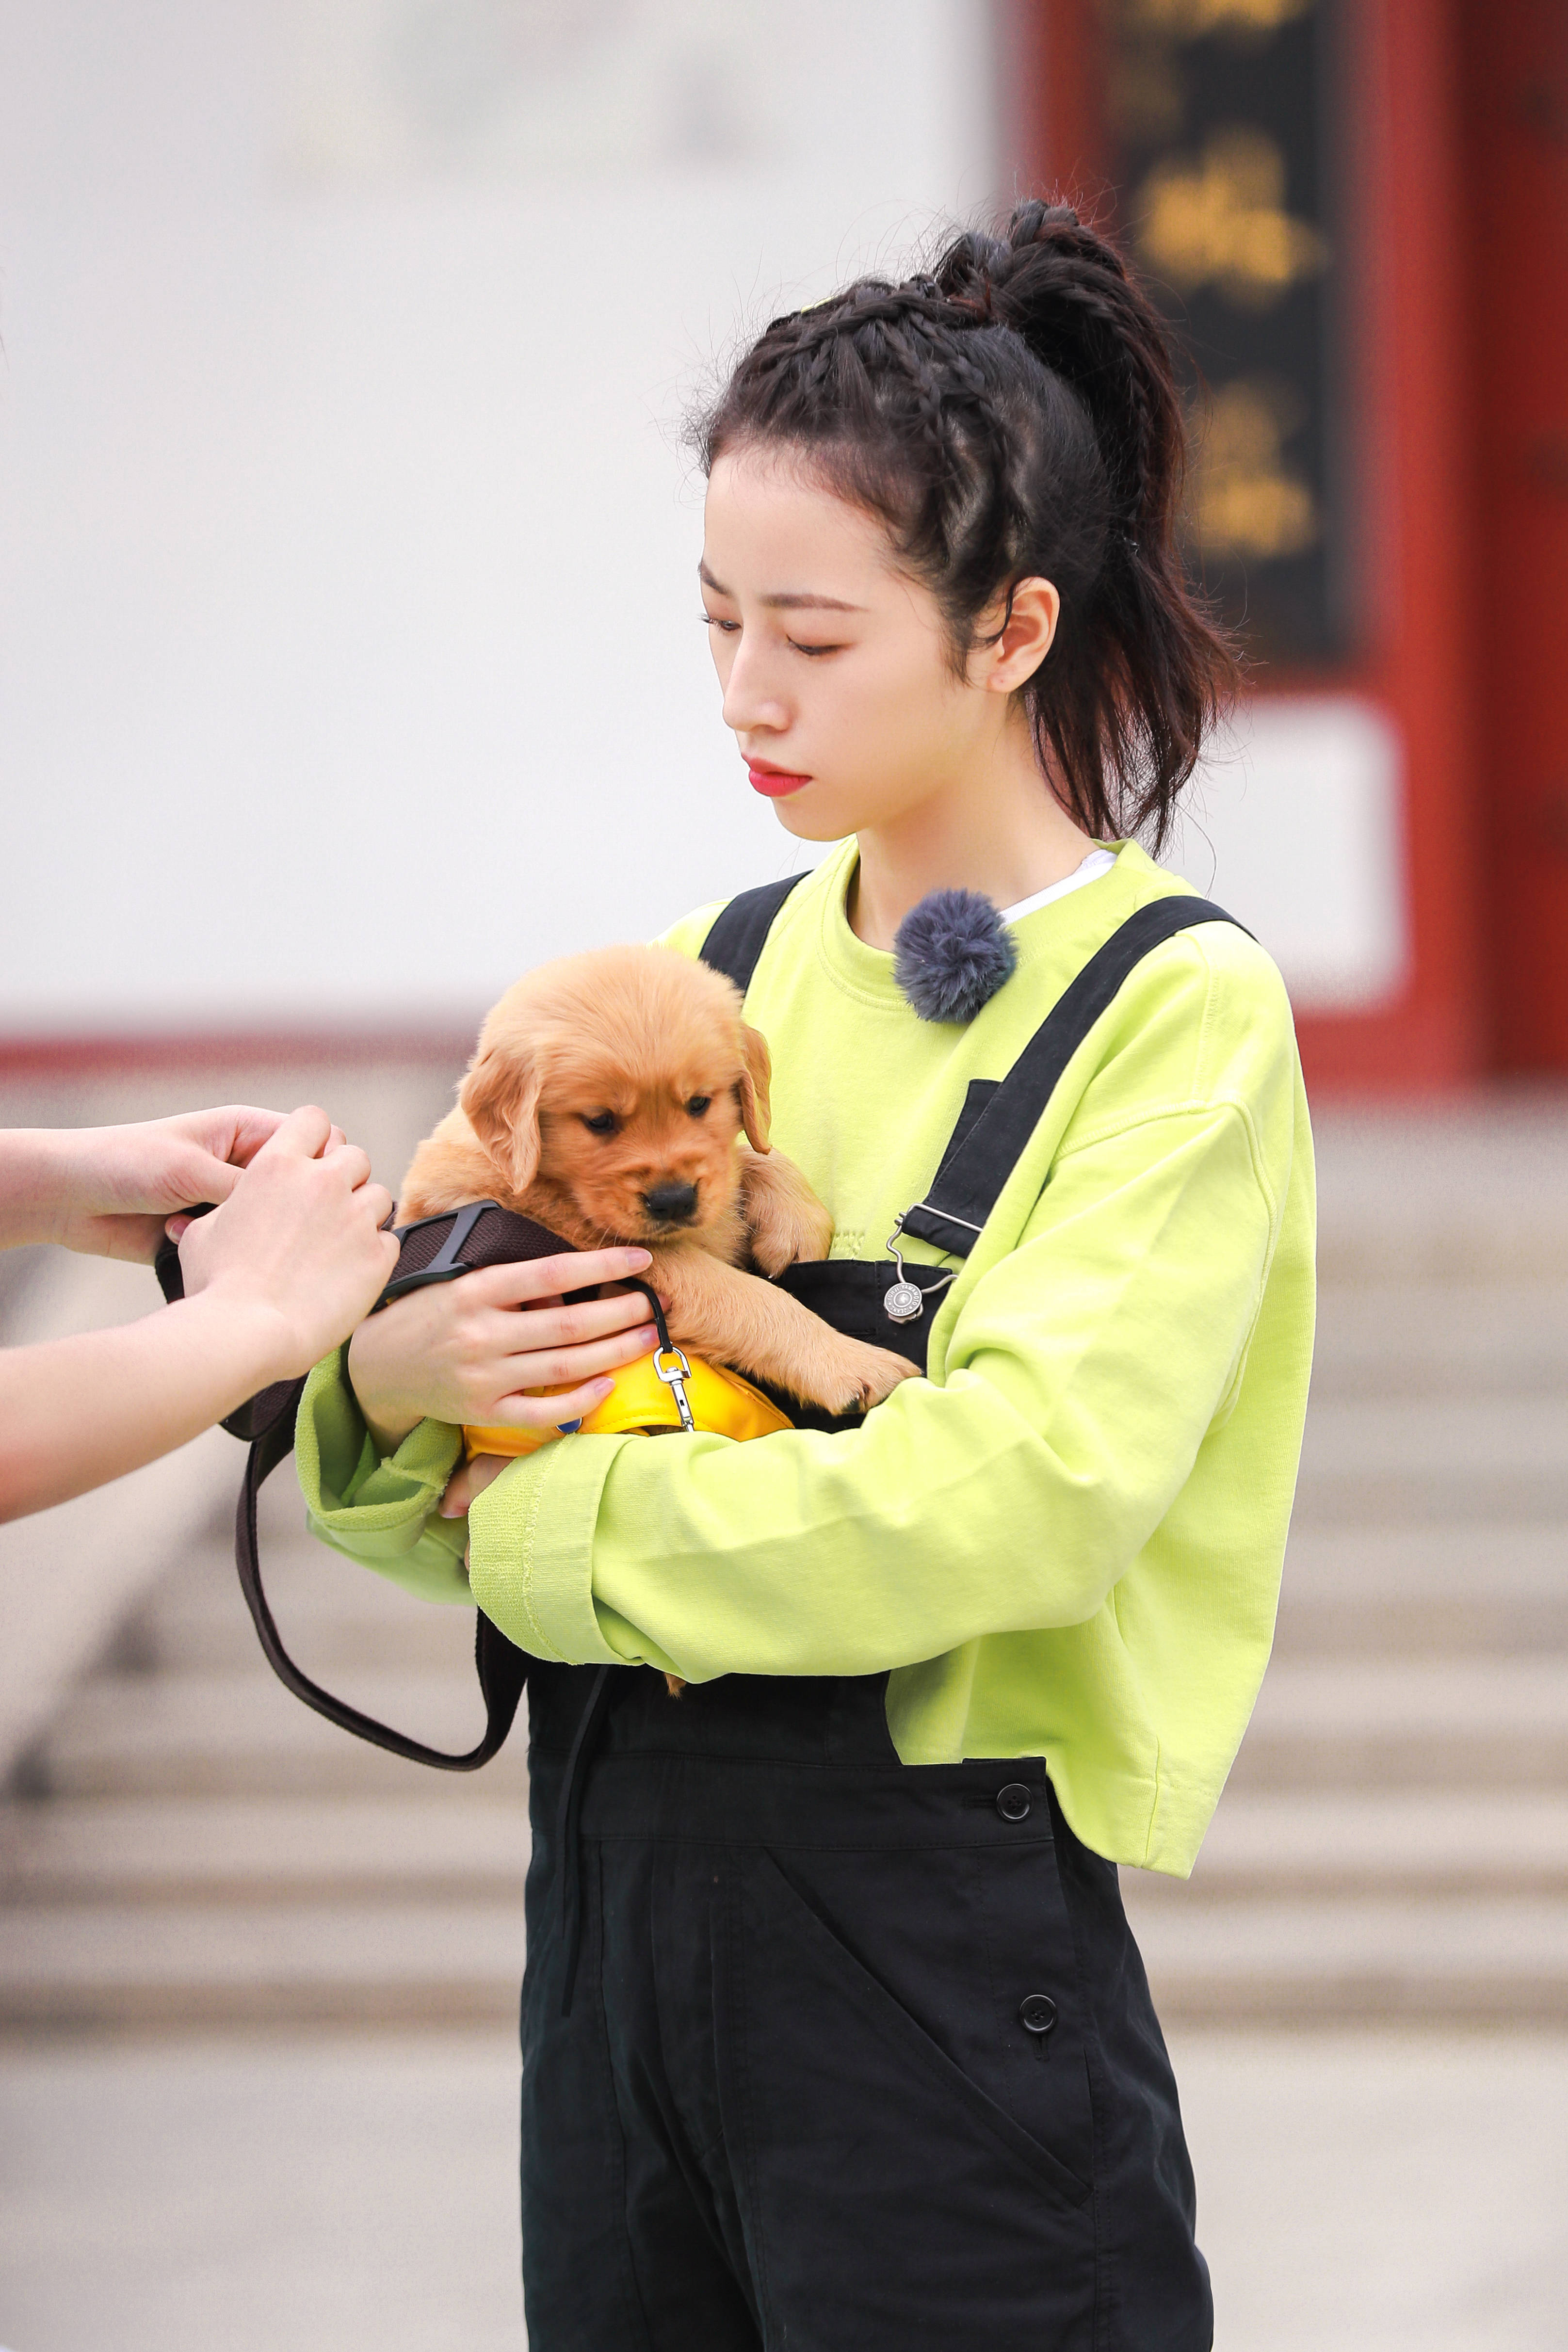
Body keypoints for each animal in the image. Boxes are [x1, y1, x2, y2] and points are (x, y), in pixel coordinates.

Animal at [402, 936, 921, 1411]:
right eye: (599, 1121)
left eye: (699, 1103)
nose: (674, 1200)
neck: (552, 1186)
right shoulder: (619, 1254)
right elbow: (747, 1297)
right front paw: (850, 1363)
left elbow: (750, 1155)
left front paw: (796, 1225)